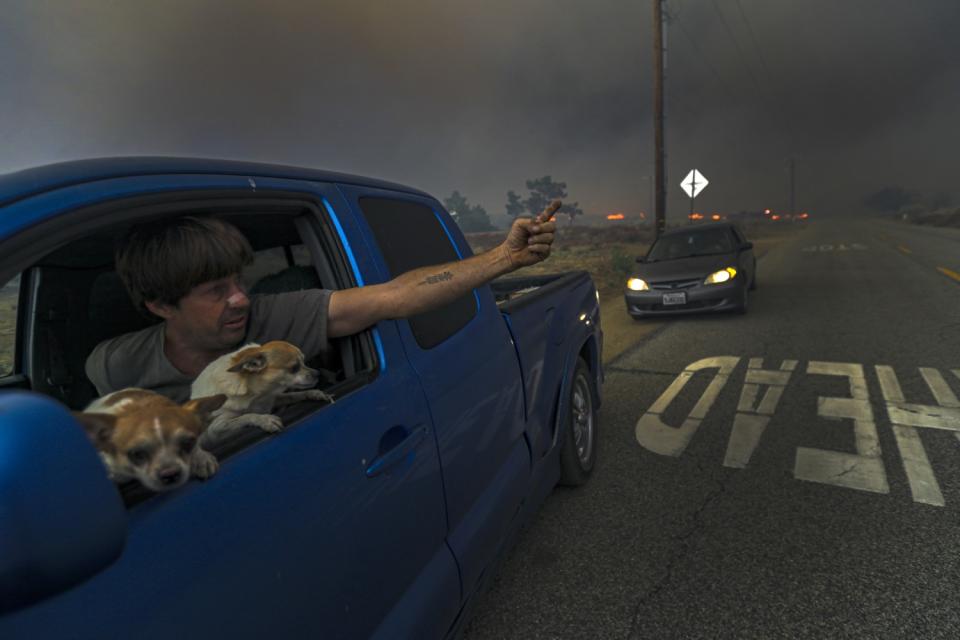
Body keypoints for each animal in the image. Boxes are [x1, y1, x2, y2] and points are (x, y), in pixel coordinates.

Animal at [189, 340, 336, 450]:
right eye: (294, 368)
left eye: (305, 362)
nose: (318, 373)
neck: (254, 396)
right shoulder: (217, 429)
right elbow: (246, 416)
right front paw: (265, 420)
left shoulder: (272, 398)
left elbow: (295, 395)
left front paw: (313, 393)